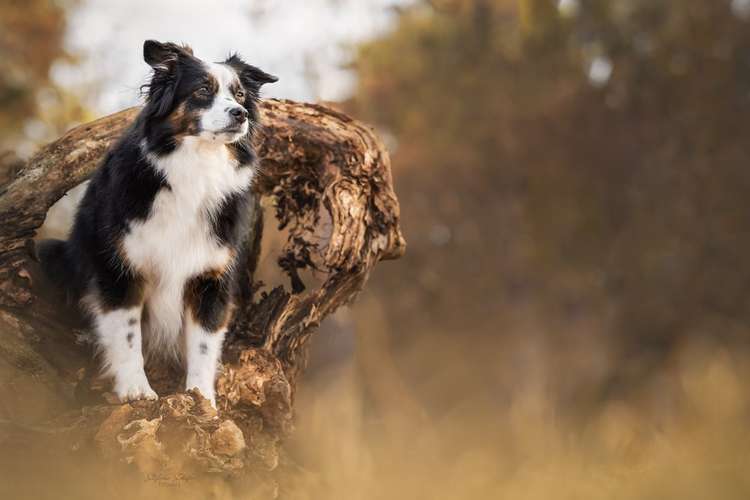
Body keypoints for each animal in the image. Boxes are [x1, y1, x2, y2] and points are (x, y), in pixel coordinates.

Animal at [39, 40, 280, 406]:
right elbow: (127, 336)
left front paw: (201, 398)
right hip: (52, 253)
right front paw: (136, 390)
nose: (241, 114)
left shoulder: (210, 277)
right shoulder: (120, 268)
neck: (196, 167)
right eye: (202, 90)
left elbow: (204, 345)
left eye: (239, 94)